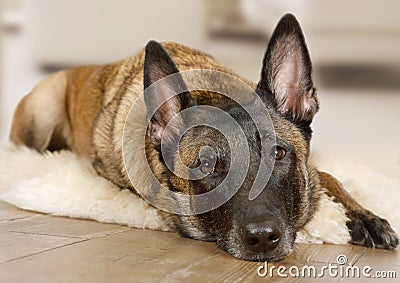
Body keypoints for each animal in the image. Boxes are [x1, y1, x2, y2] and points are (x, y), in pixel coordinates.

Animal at [8, 13, 396, 262]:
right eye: (206, 166)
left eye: (279, 154)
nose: (262, 238)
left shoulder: (311, 168)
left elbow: (330, 176)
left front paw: (366, 216)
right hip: (41, 114)